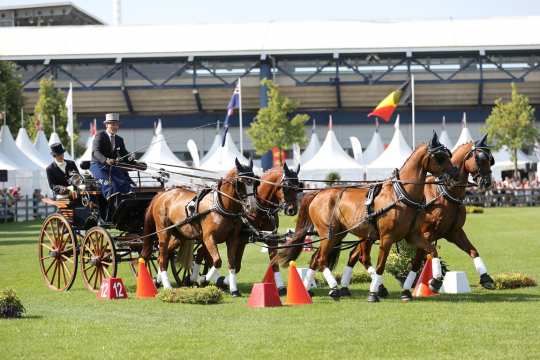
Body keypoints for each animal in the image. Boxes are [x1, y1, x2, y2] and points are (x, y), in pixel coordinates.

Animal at [140, 159, 256, 292]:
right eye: (241, 182)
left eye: (255, 182)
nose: (251, 207)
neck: (220, 206)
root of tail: (162, 194)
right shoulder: (208, 238)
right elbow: (217, 261)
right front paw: (202, 279)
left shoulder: (232, 239)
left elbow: (231, 263)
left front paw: (233, 289)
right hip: (163, 233)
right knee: (163, 257)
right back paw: (167, 286)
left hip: (179, 236)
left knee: (162, 256)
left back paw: (158, 281)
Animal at [190, 163, 302, 296]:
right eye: (285, 187)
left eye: (298, 187)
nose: (292, 210)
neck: (260, 211)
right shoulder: (241, 240)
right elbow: (236, 265)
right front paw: (223, 282)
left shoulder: (271, 239)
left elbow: (274, 263)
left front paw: (281, 288)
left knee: (200, 253)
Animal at [278, 132, 456, 300]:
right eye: (440, 157)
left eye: (448, 155)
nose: (454, 174)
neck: (401, 194)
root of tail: (318, 193)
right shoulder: (386, 237)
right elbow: (380, 266)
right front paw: (373, 293)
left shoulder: (413, 235)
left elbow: (432, 250)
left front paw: (433, 281)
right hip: (329, 234)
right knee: (321, 259)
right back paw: (335, 289)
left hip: (339, 235)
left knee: (317, 259)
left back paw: (310, 289)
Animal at [340, 135, 496, 300]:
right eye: (480, 158)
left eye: (491, 159)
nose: (487, 182)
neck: (444, 193)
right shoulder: (426, 233)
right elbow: (418, 261)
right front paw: (432, 281)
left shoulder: (454, 232)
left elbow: (473, 251)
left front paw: (486, 278)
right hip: (369, 235)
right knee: (362, 257)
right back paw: (372, 287)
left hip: (369, 235)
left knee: (354, 255)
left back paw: (347, 288)